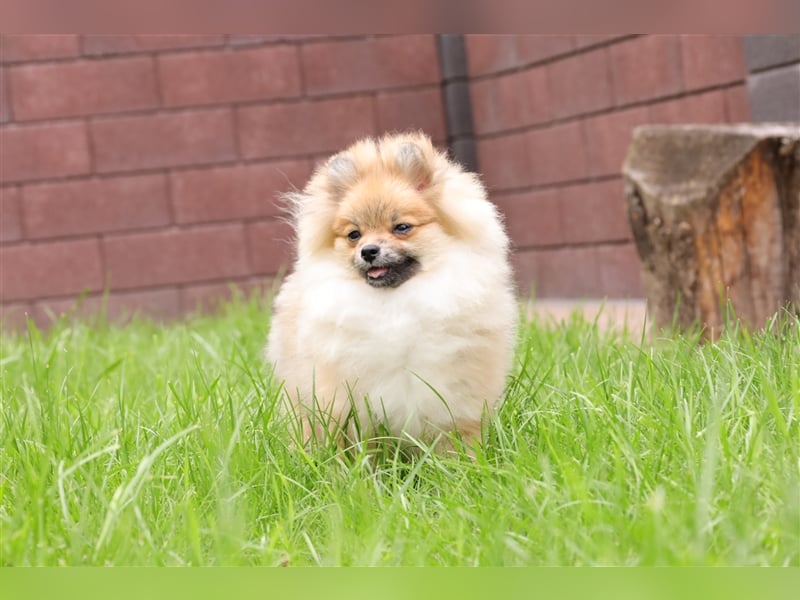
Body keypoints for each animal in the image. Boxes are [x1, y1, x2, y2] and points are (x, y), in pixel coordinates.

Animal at [268, 131, 520, 450]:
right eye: (354, 235)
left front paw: (466, 463)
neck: (396, 304)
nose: (368, 251)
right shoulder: (346, 401)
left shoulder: (456, 396)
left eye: (401, 227)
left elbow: (458, 441)